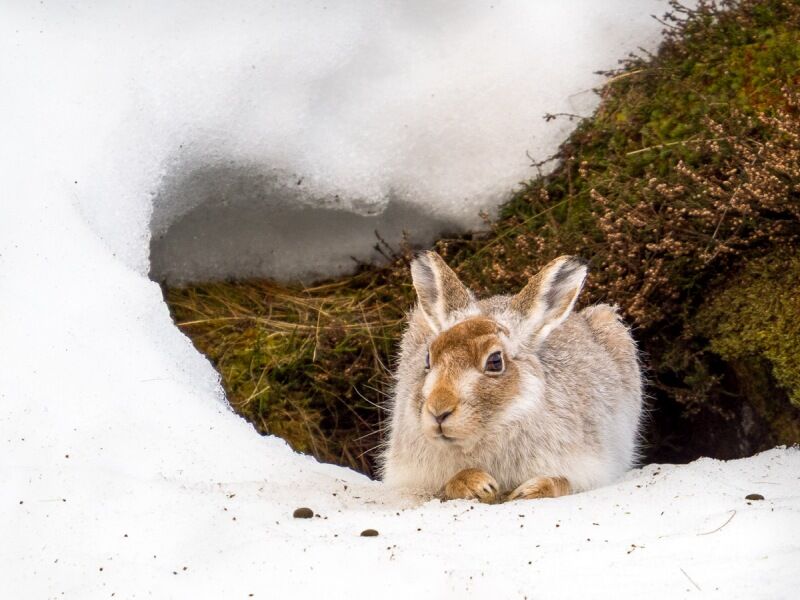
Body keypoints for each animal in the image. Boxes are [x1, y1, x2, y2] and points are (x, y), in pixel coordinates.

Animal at [379, 251, 643, 502]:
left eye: (495, 361)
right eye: (427, 359)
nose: (438, 411)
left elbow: (564, 482)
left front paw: (532, 490)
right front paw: (476, 484)